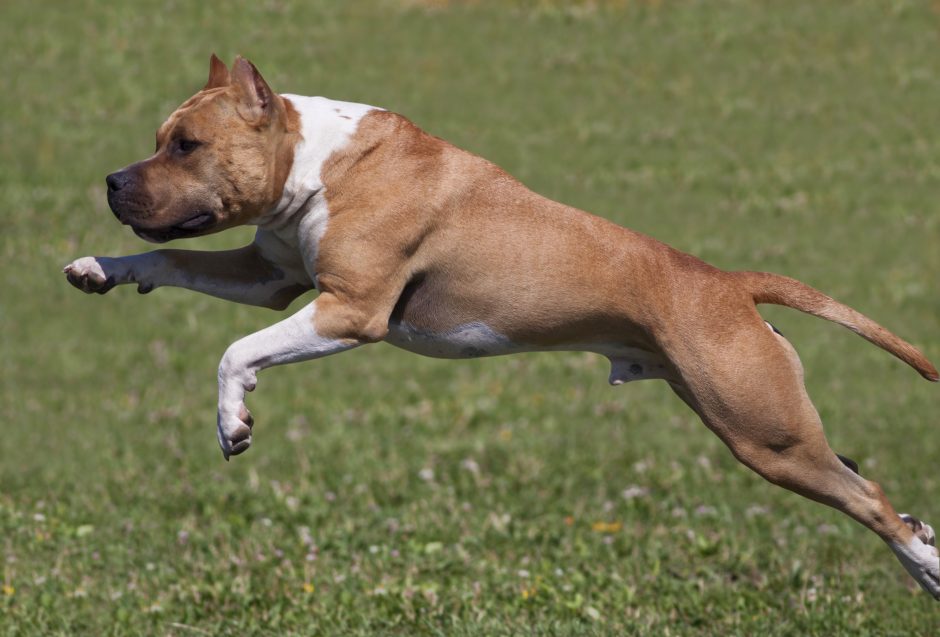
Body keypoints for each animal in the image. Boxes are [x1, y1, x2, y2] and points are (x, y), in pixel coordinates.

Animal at [62, 54, 936, 596]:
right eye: (158, 142)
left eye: (188, 144)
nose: (111, 181)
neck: (318, 163)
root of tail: (727, 283)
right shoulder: (271, 278)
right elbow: (172, 262)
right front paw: (102, 267)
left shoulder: (347, 309)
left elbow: (233, 350)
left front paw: (232, 420)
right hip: (764, 423)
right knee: (859, 475)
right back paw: (924, 543)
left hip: (765, 435)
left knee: (869, 497)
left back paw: (923, 564)